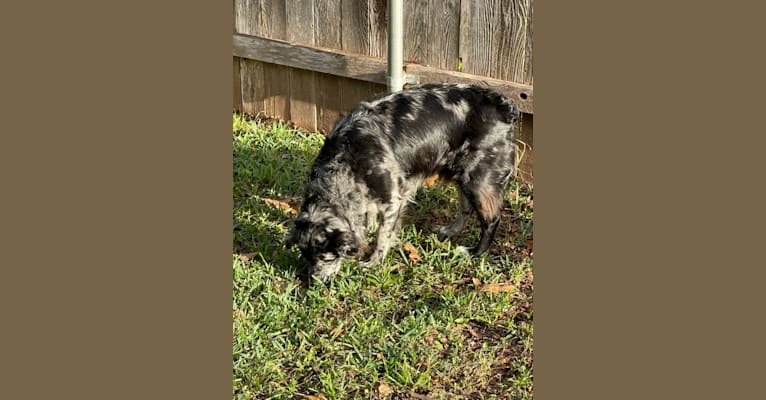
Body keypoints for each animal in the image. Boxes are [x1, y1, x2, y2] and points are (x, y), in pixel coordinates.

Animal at [288, 82, 520, 282]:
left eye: (326, 257)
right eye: (306, 257)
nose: (315, 281)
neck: (346, 157)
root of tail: (504, 106)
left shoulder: (393, 200)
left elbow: (383, 237)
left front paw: (373, 262)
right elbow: (370, 216)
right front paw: (368, 229)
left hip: (477, 179)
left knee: (491, 220)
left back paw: (474, 252)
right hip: (461, 175)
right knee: (466, 208)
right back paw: (450, 231)